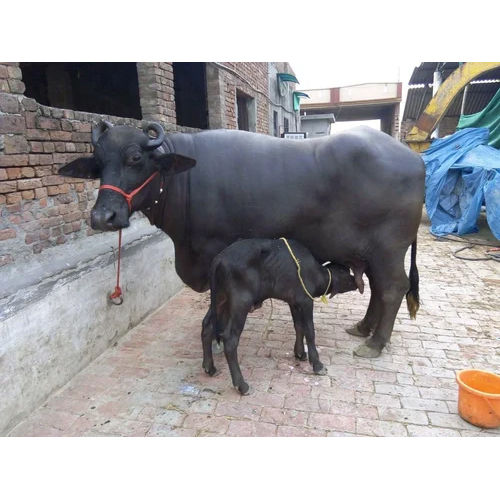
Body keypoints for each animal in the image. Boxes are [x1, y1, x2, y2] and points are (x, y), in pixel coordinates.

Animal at [59, 120, 426, 360]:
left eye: (136, 158)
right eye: (98, 163)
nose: (103, 217)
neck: (183, 180)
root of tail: (415, 159)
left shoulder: (214, 255)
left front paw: (218, 340)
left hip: (389, 249)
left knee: (393, 288)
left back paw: (374, 344)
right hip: (373, 253)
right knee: (377, 288)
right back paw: (363, 328)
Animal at [201, 238, 362, 394]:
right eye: (347, 273)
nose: (357, 283)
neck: (314, 273)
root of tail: (219, 259)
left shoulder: (294, 303)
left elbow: (299, 326)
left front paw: (300, 353)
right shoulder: (306, 301)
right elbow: (310, 331)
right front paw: (317, 364)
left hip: (220, 300)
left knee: (207, 326)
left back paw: (210, 367)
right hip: (240, 304)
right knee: (230, 340)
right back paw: (242, 385)